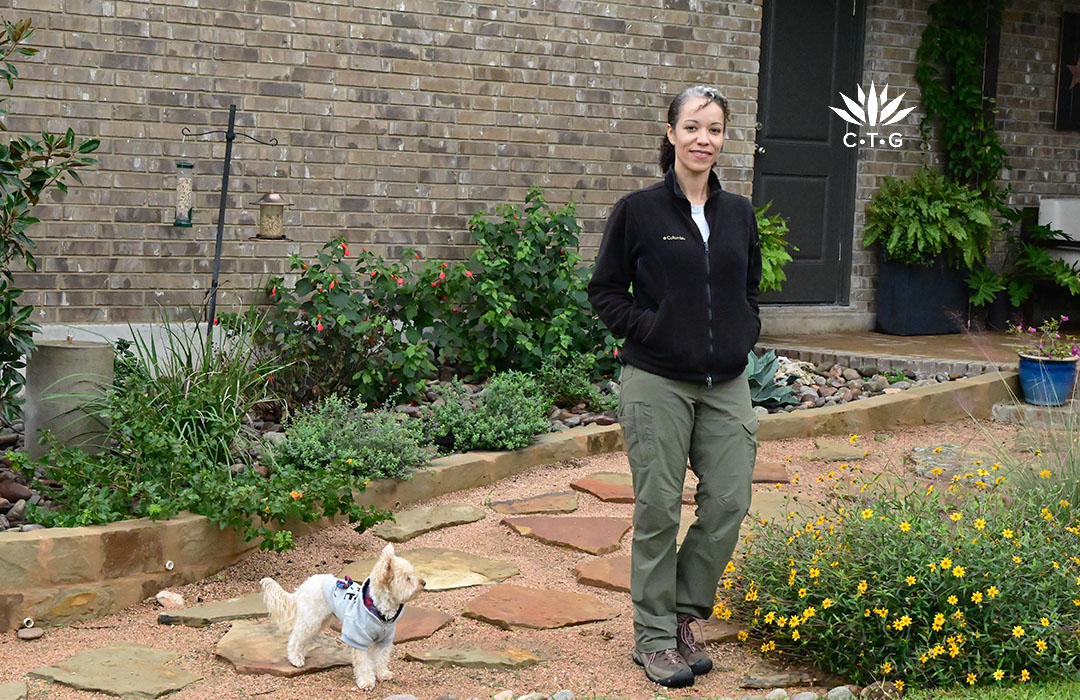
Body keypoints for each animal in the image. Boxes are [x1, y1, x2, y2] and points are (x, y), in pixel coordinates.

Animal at [261, 542, 425, 687]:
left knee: (302, 639)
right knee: (295, 638)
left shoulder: (384, 640)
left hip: (319, 621)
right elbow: (363, 662)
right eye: (407, 578)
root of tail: (304, 586)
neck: (381, 612)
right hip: (311, 620)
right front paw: (366, 682)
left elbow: (381, 658)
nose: (423, 582)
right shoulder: (359, 638)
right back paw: (295, 659)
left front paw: (382, 674)